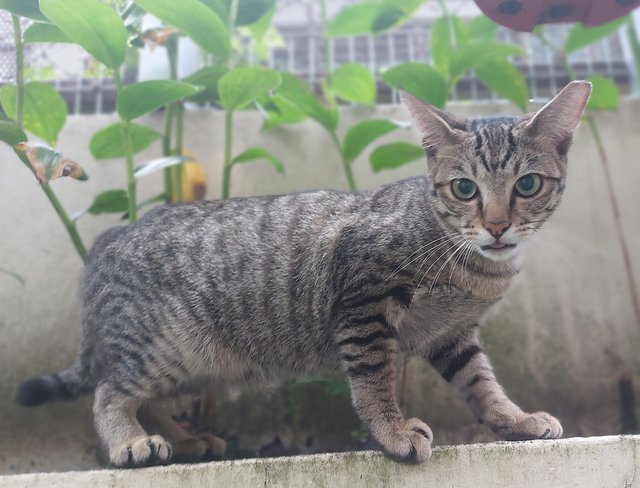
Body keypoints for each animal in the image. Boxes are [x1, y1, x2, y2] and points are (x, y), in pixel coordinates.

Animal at [18, 81, 592, 468]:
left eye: (528, 184)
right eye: (464, 189)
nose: (496, 225)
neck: (472, 267)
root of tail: (107, 239)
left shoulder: (453, 334)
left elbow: (482, 384)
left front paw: (514, 421)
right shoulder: (364, 299)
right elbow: (373, 378)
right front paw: (393, 432)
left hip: (188, 363)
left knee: (148, 398)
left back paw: (183, 440)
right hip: (163, 347)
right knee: (109, 392)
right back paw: (130, 442)